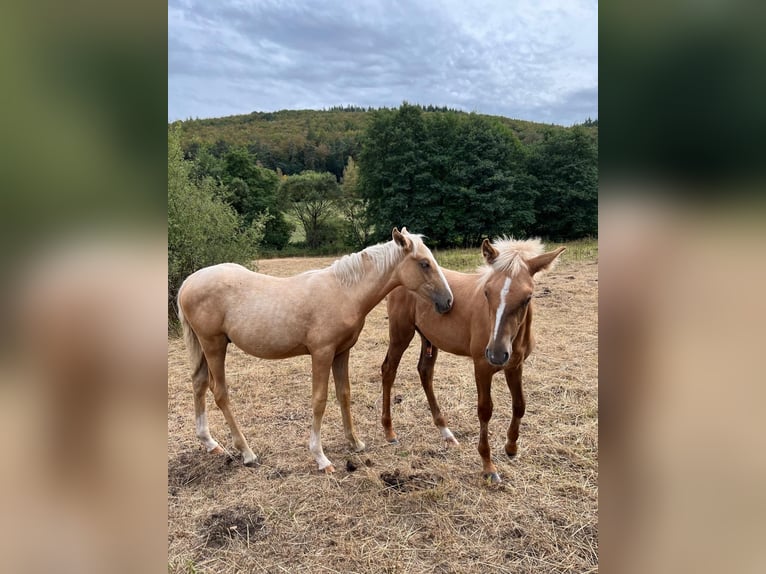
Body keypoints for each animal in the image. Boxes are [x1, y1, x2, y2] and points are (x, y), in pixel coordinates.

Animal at [177, 227, 453, 474]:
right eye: (424, 263)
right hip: (214, 345)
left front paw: (355, 443)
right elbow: (319, 400)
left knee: (199, 383)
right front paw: (321, 458)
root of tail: (188, 283)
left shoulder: (342, 352)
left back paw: (210, 443)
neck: (344, 291)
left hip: (204, 347)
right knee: (219, 392)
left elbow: (344, 394)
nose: (448, 301)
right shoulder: (322, 353)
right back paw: (247, 452)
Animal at [380, 237, 565, 483]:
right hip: (401, 333)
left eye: (528, 298)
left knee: (425, 372)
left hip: (429, 338)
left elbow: (520, 405)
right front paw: (488, 466)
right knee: (389, 370)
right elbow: (485, 410)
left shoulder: (515, 365)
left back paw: (446, 433)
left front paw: (511, 448)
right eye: (486, 293)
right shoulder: (482, 367)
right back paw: (389, 431)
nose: (496, 354)